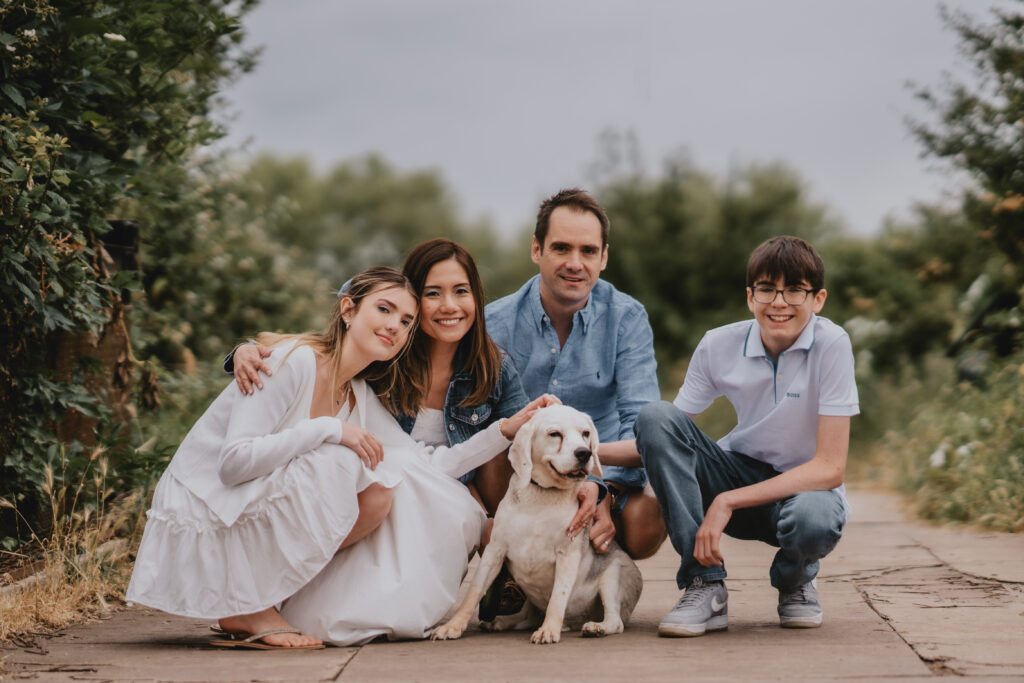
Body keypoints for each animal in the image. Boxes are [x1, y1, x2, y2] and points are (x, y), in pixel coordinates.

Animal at [430, 405, 638, 647]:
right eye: (555, 434)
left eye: (585, 433)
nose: (584, 453)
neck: (542, 497)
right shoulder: (495, 550)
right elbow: (474, 591)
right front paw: (453, 626)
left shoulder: (567, 555)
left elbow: (558, 596)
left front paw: (549, 630)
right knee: (526, 617)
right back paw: (501, 622)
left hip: (612, 578)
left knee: (615, 621)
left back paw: (596, 627)